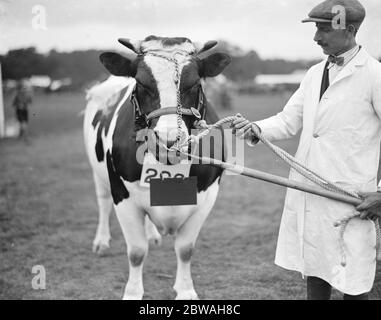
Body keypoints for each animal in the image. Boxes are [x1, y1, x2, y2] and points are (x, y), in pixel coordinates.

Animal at [83, 35, 230, 300]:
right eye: (141, 83)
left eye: (195, 83)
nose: (168, 140)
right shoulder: (122, 196)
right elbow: (136, 252)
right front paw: (132, 293)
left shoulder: (208, 196)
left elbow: (185, 248)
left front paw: (185, 290)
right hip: (98, 172)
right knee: (102, 202)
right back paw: (101, 242)